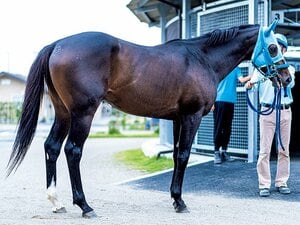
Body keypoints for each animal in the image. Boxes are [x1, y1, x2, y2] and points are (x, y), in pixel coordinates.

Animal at [5, 23, 290, 218]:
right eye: (273, 47)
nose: (286, 78)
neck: (202, 58)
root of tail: (58, 44)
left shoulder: (177, 119)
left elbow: (176, 155)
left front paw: (174, 198)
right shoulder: (192, 116)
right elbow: (184, 155)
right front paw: (180, 202)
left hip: (63, 112)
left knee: (51, 147)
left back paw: (57, 202)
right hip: (83, 113)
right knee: (72, 151)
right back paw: (85, 205)